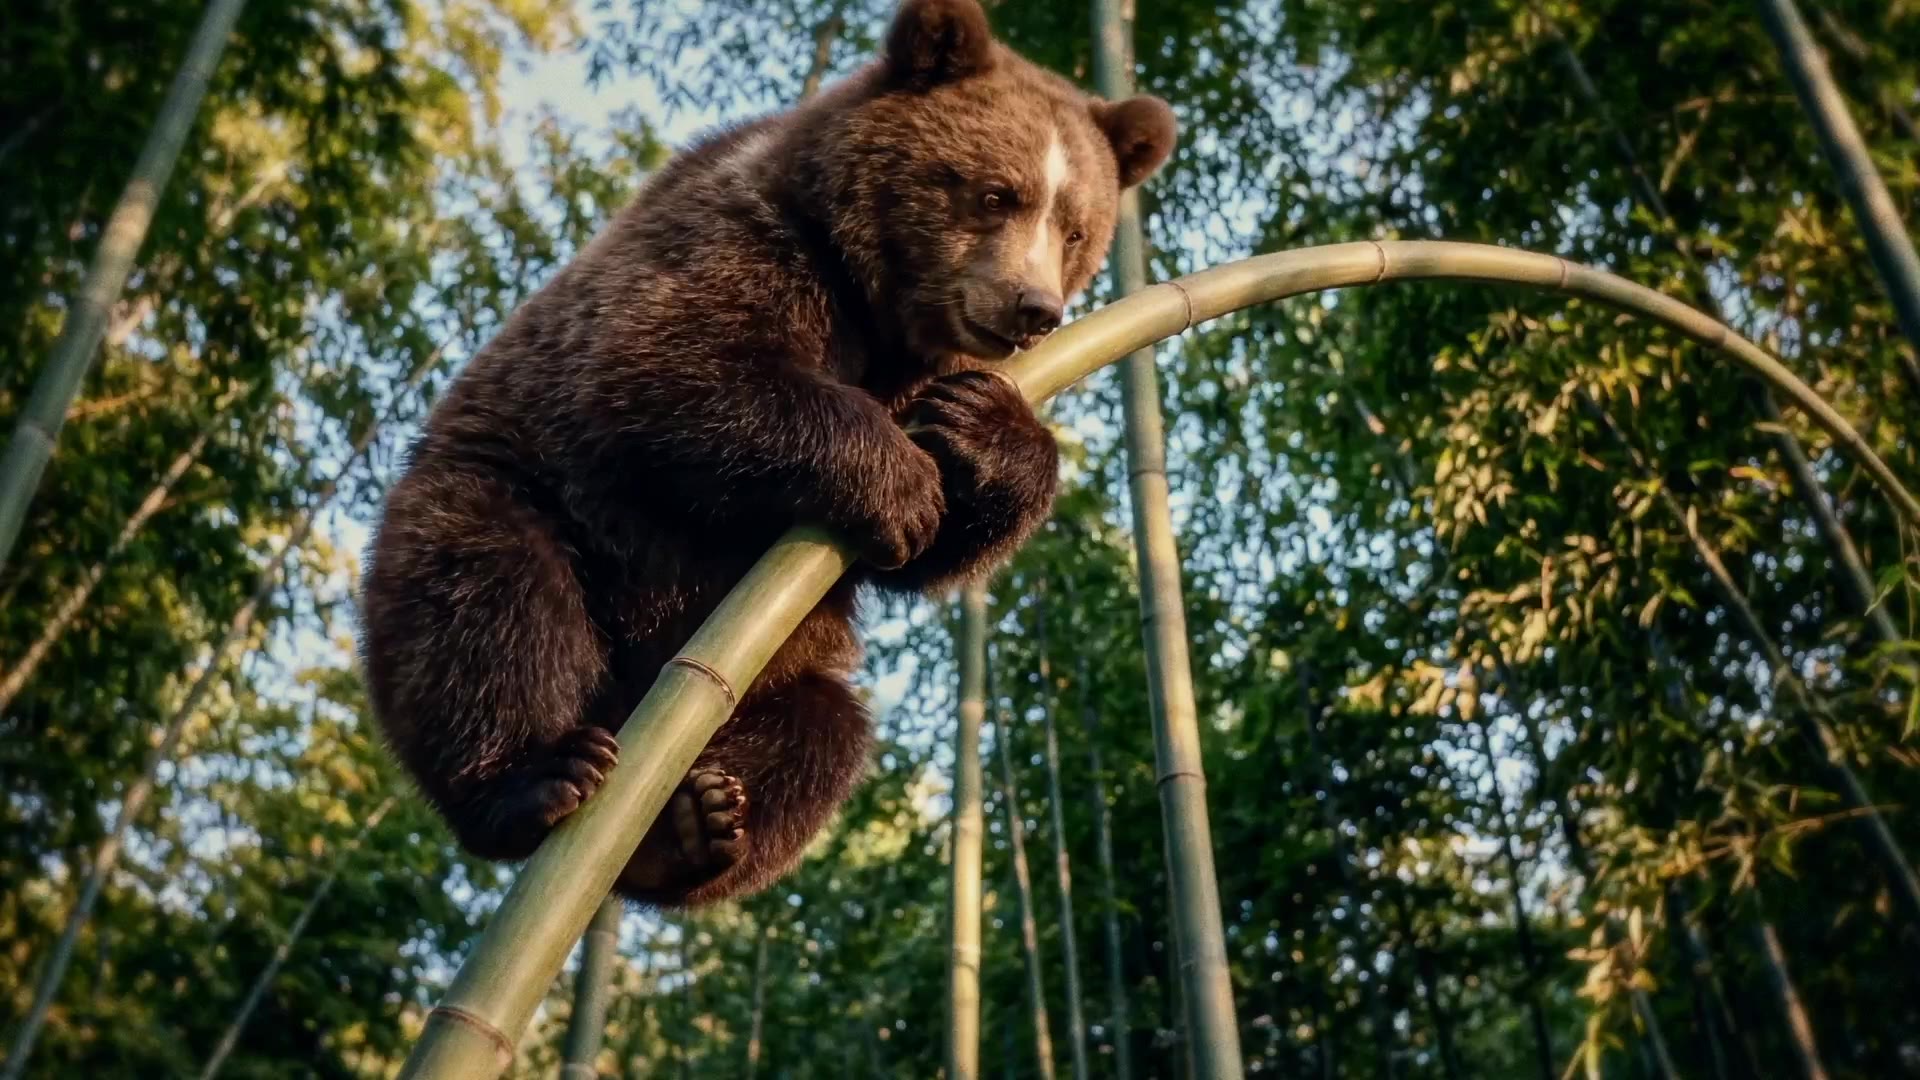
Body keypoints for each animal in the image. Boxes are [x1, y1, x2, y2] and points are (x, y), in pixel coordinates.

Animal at [357, 0, 1177, 908]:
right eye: (996, 193)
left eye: (1076, 229)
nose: (1033, 309)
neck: (881, 303)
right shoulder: (749, 240)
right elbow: (673, 367)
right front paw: (900, 485)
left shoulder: (930, 360)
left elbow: (933, 550)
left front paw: (980, 429)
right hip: (505, 489)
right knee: (485, 600)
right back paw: (538, 779)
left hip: (767, 665)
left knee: (823, 734)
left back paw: (693, 826)